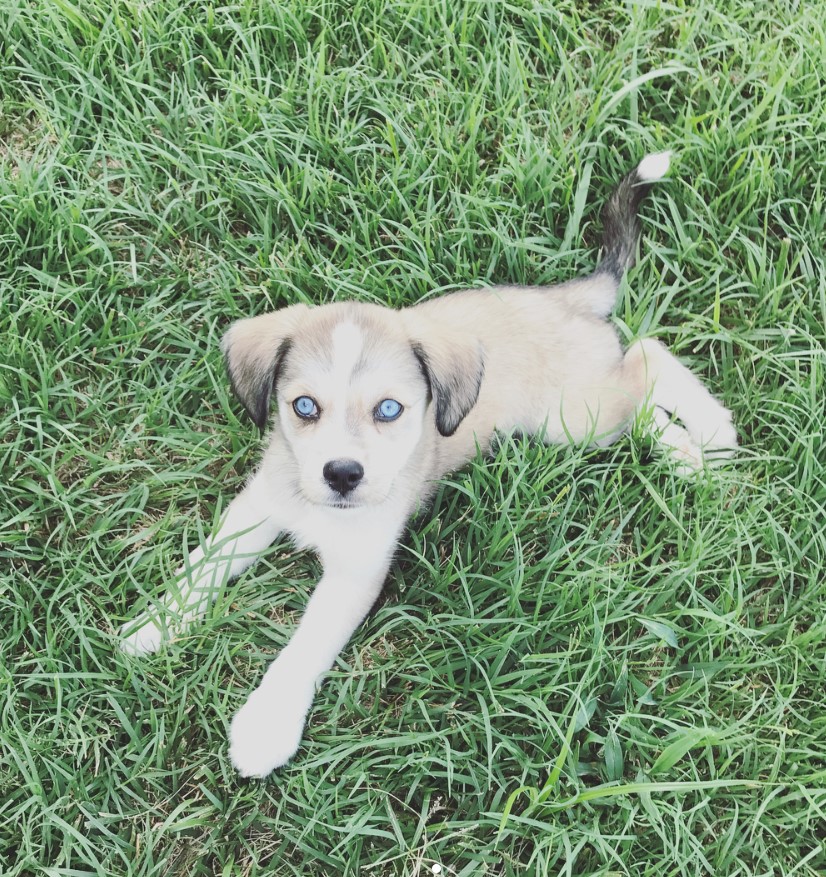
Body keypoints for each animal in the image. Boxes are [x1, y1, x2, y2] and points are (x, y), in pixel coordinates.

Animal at [117, 154, 732, 776]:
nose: (342, 475)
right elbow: (202, 565)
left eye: (390, 409)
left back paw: (713, 435)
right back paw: (688, 456)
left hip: (577, 419)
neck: (319, 508)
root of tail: (564, 299)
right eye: (304, 407)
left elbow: (305, 644)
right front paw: (155, 625)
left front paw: (267, 725)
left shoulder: (357, 569)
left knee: (648, 358)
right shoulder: (258, 506)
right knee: (644, 397)